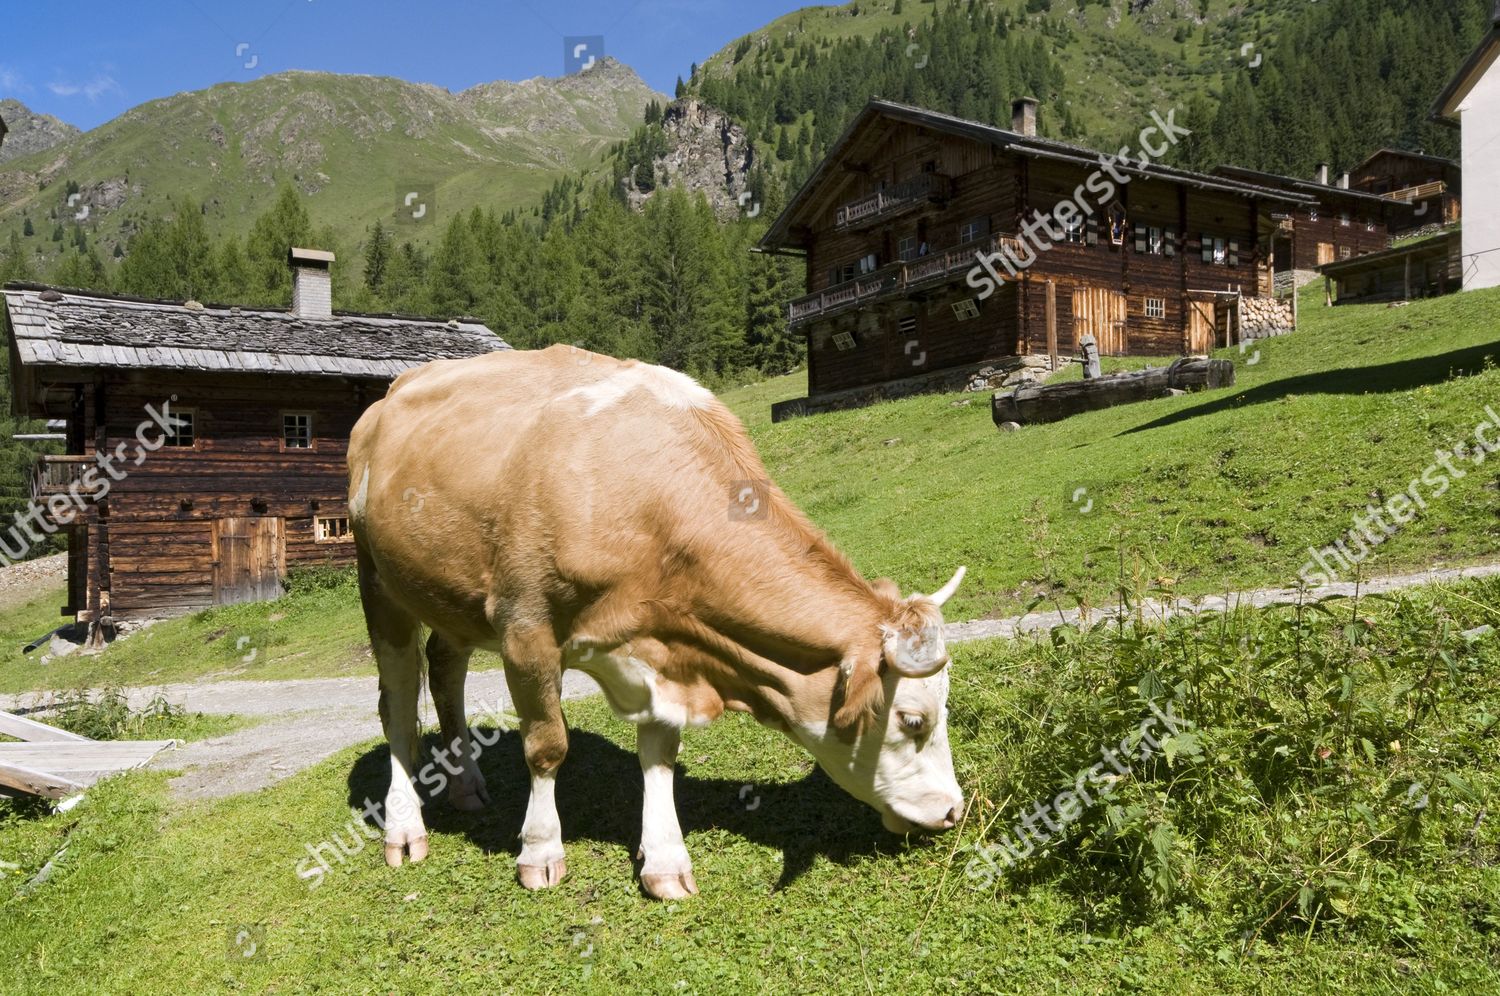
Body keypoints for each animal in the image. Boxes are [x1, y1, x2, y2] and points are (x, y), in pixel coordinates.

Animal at [345, 346, 966, 900]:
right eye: (912, 720)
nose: (954, 811)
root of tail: (391, 396)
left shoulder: (663, 647)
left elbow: (660, 752)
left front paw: (665, 859)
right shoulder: (525, 628)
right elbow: (546, 745)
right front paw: (541, 851)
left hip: (450, 597)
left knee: (445, 670)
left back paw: (466, 785)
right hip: (377, 579)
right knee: (398, 704)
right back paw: (405, 826)